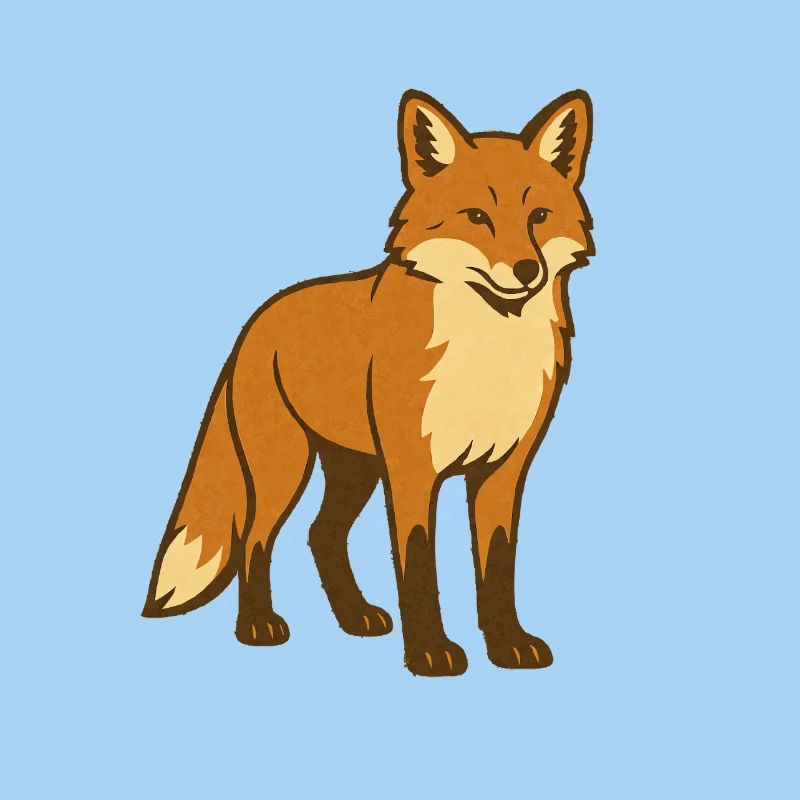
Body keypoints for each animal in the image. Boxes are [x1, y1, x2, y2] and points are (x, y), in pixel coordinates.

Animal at [143, 89, 594, 676]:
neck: (485, 352)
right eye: (476, 217)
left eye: (539, 216)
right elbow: (418, 564)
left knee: (321, 535)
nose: (525, 270)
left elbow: (497, 566)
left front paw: (506, 643)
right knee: (256, 540)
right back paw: (258, 626)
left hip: (355, 468)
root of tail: (259, 316)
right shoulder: (412, 467)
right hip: (285, 466)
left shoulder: (502, 471)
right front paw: (429, 651)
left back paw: (355, 616)